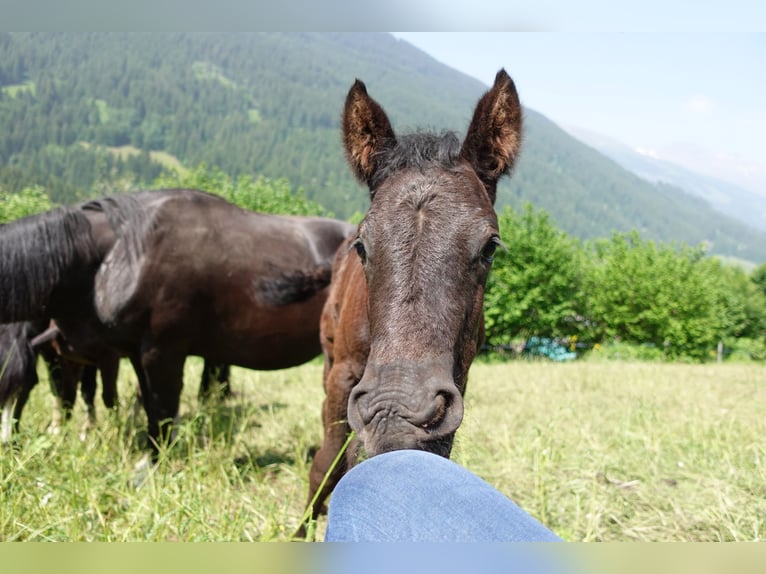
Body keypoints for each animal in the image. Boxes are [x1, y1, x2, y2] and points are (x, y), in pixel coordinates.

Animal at [0, 189, 356, 461]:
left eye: (25, 387)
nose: (7, 446)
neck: (125, 251)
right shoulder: (134, 354)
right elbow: (148, 407)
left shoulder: (162, 352)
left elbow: (163, 409)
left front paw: (155, 464)